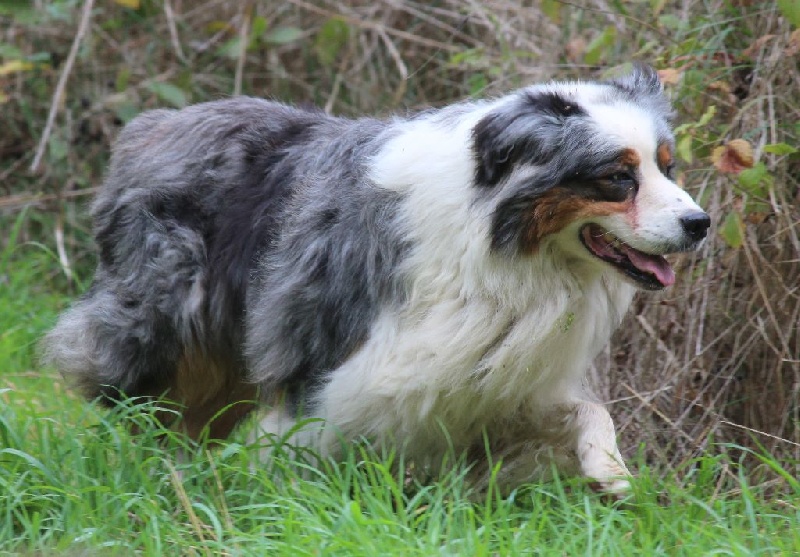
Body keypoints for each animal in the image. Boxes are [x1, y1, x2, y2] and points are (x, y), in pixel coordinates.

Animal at [44, 64, 709, 495]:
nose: (700, 223)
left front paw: (609, 472)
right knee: (145, 402)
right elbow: (300, 447)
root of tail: (151, 124)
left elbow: (588, 413)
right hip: (165, 323)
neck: (507, 246)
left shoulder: (492, 382)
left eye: (668, 166)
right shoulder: (320, 359)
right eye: (618, 178)